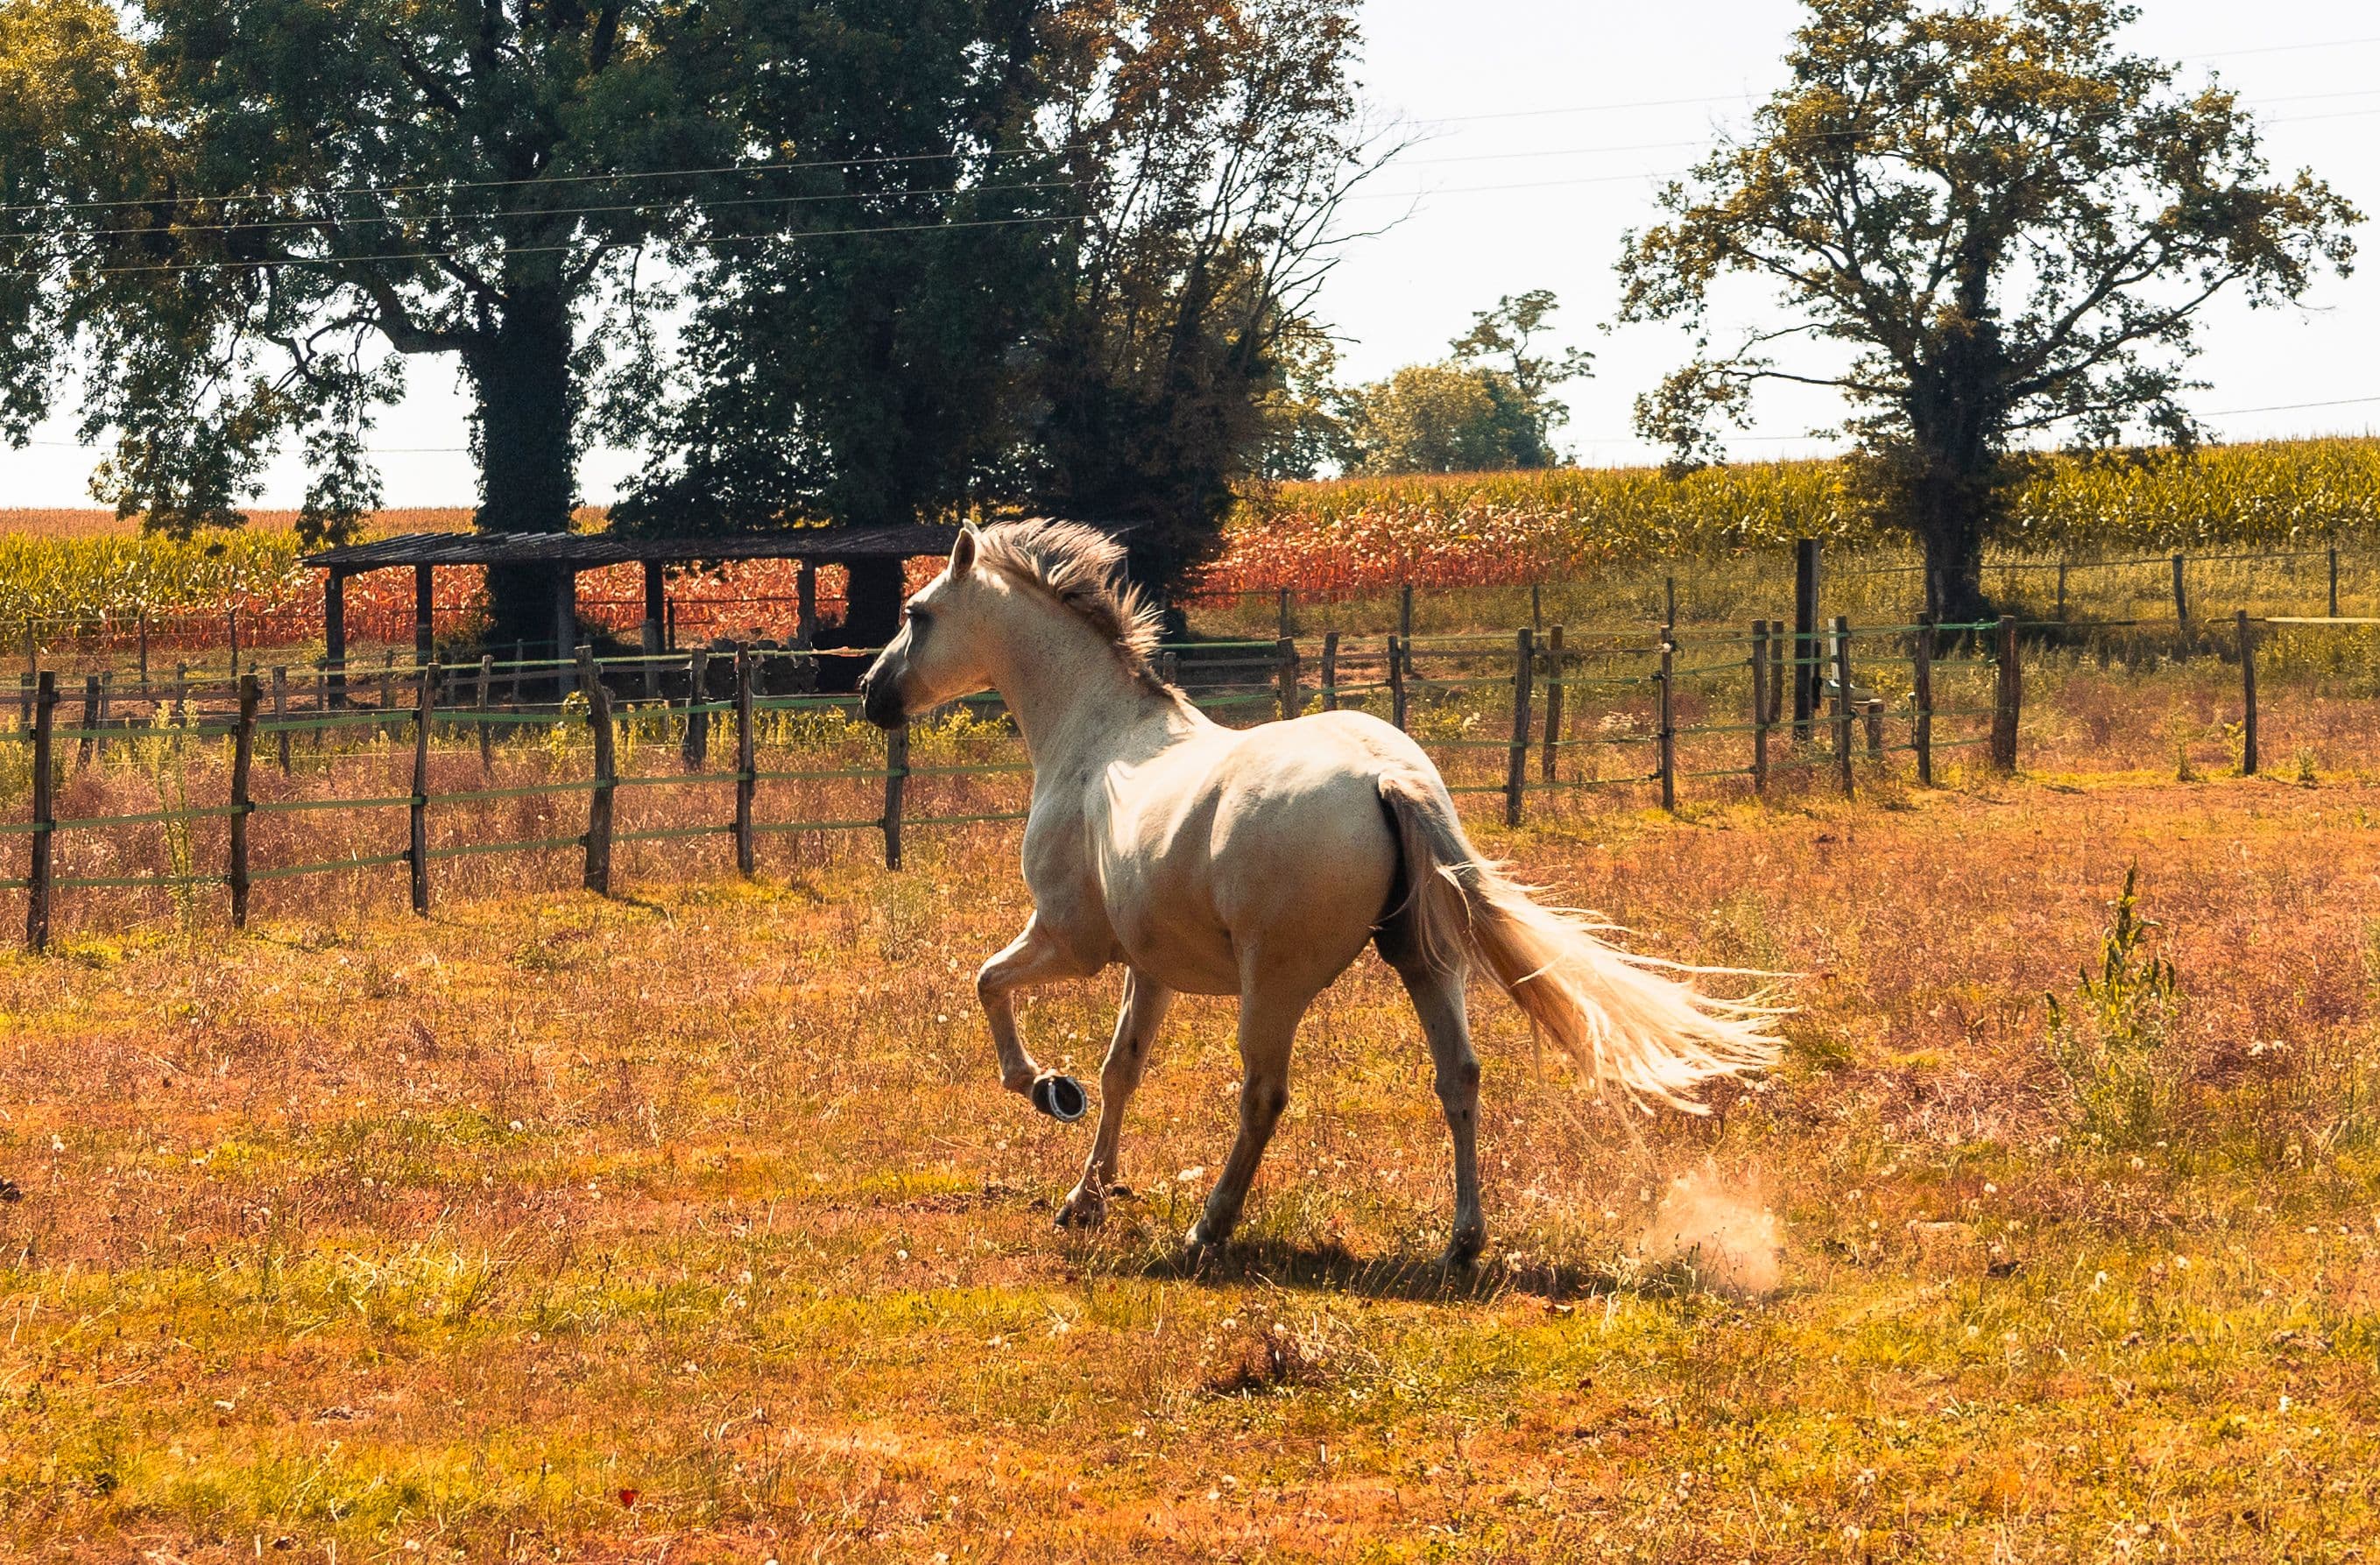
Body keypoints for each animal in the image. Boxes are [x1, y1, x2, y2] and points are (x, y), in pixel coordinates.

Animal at [859, 520, 1780, 1265]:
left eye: (914, 613)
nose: (870, 694)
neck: (1097, 740)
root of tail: (1387, 777)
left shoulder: (1069, 941)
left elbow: (989, 985)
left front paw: (1049, 1090)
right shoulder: (1146, 967)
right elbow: (1121, 1070)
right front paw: (1083, 1198)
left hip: (1273, 983)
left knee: (1263, 1095)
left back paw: (1209, 1228)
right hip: (1423, 959)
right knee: (1459, 1075)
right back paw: (1462, 1241)